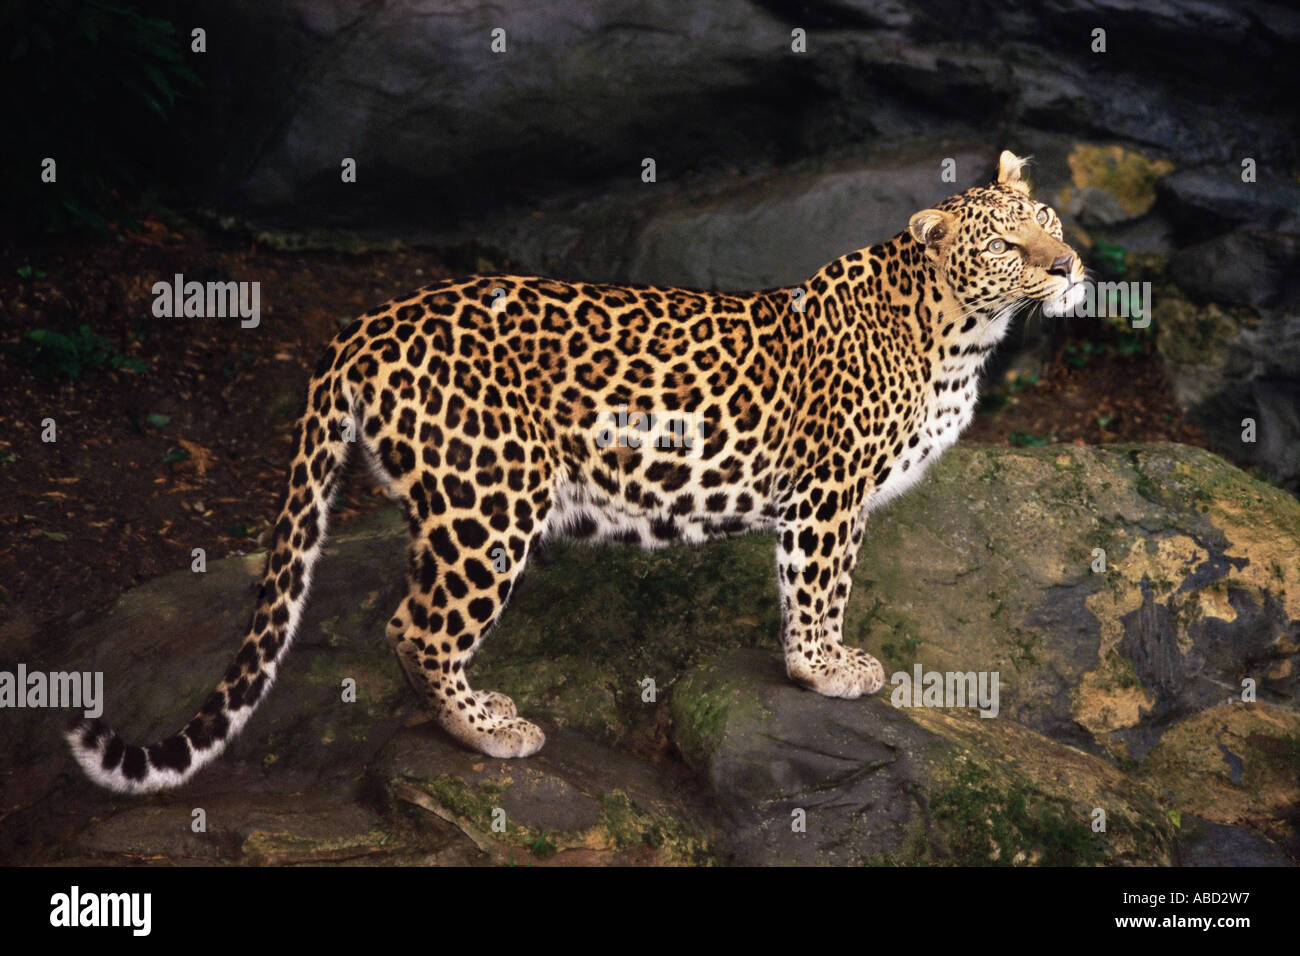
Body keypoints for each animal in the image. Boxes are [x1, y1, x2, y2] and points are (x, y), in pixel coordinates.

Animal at [67, 149, 1085, 793]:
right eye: (1008, 246)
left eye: (1049, 220)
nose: (1072, 265)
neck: (960, 332)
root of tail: (366, 325)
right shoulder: (829, 493)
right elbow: (819, 586)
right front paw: (825, 669)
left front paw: (821, 665)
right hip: (491, 503)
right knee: (416, 627)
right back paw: (485, 732)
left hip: (445, 506)